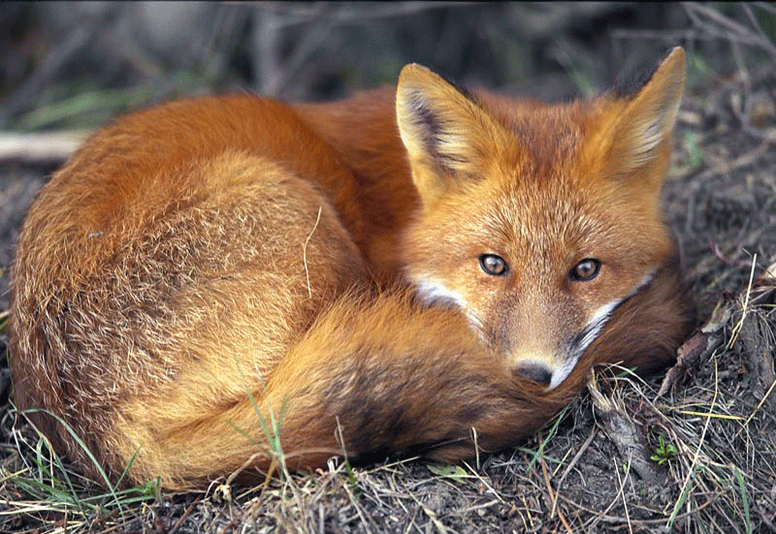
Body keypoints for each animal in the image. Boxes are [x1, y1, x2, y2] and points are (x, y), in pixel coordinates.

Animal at [10, 47, 692, 490]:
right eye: (493, 265)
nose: (532, 374)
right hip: (298, 212)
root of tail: (103, 437)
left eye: (587, 270)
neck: (407, 205)